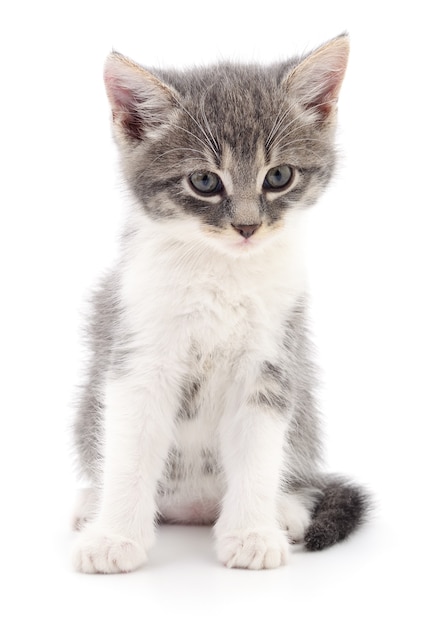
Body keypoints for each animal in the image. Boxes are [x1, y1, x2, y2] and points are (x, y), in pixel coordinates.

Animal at [72, 33, 368, 572]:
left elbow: (258, 448)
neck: (220, 273)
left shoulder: (272, 358)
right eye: (205, 182)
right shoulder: (138, 348)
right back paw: (91, 502)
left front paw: (251, 533)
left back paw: (284, 508)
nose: (248, 226)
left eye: (279, 176)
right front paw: (114, 537)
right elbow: (129, 446)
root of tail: (194, 506)